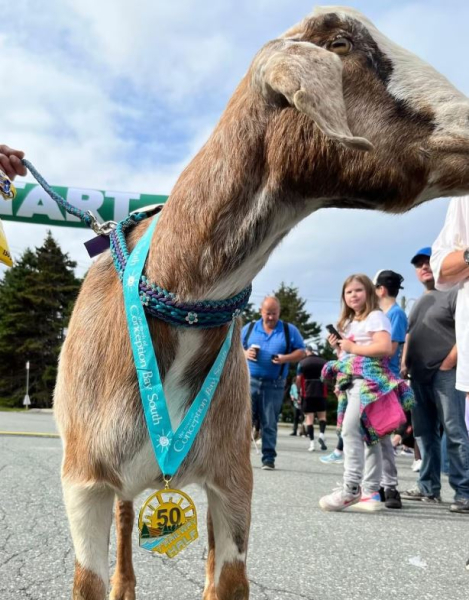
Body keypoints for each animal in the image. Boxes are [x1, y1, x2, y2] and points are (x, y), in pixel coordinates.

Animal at [54, 5, 469, 600]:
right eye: (341, 44)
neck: (178, 300)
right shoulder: (82, 481)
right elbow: (87, 576)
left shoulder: (233, 479)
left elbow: (226, 576)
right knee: (126, 517)